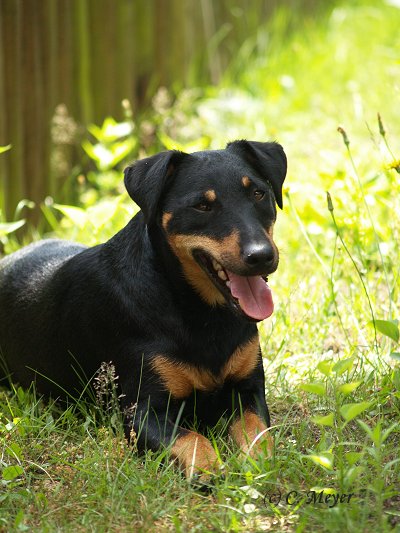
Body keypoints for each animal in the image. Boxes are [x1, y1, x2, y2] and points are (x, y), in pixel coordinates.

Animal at [0, 140, 288, 478]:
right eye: (202, 206)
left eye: (258, 193)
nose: (262, 256)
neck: (200, 311)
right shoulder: (141, 411)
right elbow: (191, 437)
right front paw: (209, 469)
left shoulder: (248, 389)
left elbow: (258, 432)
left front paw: (258, 465)